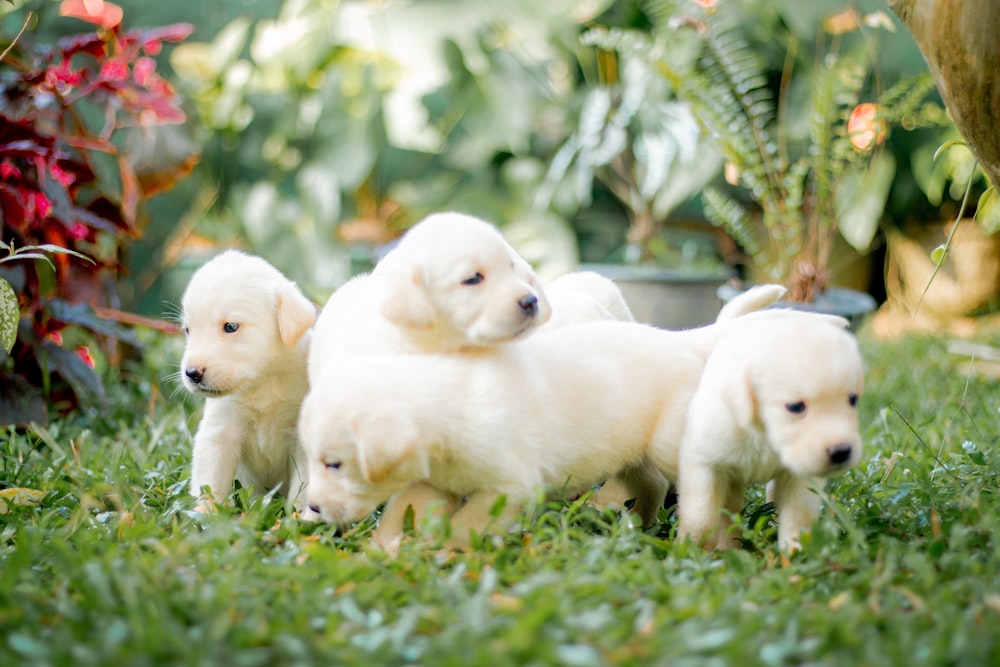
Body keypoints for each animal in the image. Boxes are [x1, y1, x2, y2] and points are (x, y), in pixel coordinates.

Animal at [180, 250, 316, 512]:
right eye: (187, 330)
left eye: (230, 326)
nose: (192, 373)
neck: (263, 382)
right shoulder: (219, 433)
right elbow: (210, 483)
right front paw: (203, 515)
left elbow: (302, 489)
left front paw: (298, 516)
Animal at [300, 284, 800, 544]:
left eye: (334, 464)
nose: (314, 507)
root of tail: (680, 338)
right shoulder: (433, 482)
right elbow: (407, 512)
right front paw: (389, 550)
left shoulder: (511, 487)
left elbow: (470, 523)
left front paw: (448, 547)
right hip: (630, 448)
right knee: (651, 484)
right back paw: (634, 526)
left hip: (670, 444)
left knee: (708, 483)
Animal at [676, 314, 864, 552]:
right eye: (795, 406)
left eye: (853, 399)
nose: (841, 452)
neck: (764, 435)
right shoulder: (703, 463)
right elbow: (700, 517)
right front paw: (690, 550)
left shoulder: (800, 478)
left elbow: (797, 517)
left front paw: (793, 552)